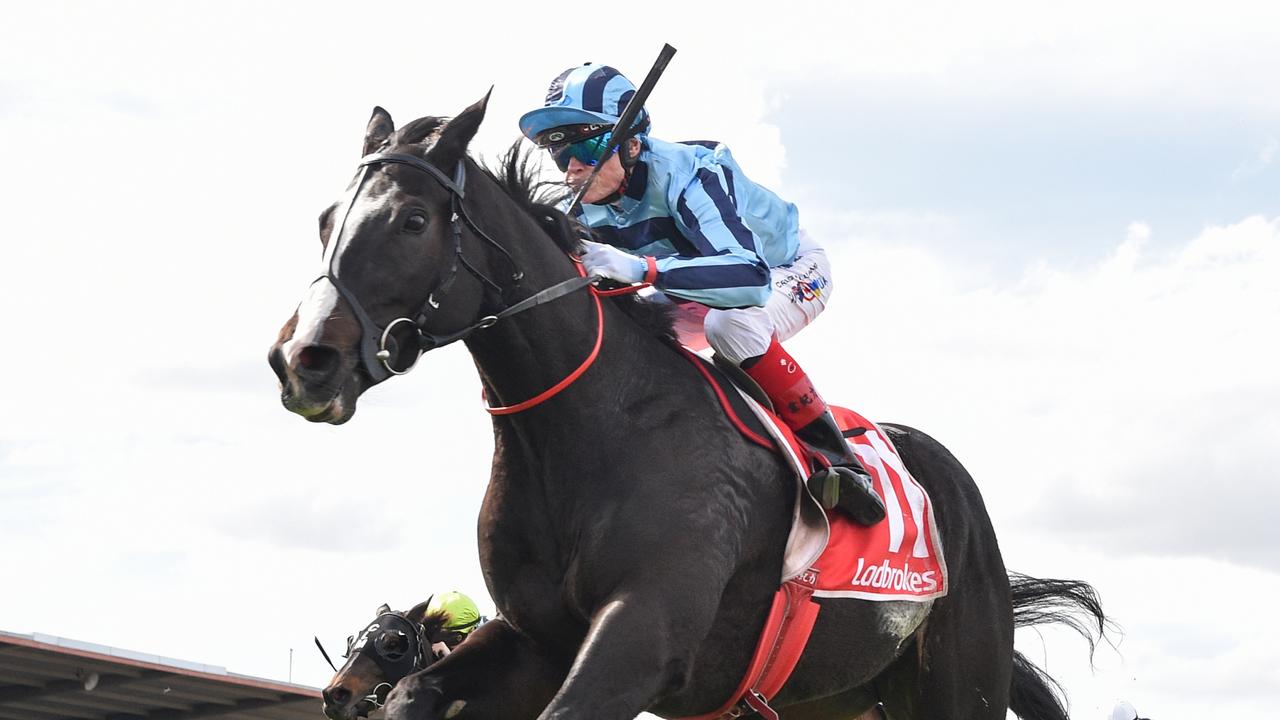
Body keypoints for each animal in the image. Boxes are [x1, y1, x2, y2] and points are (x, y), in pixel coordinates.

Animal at [272, 95, 1111, 717]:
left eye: (412, 221)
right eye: (325, 221)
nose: (304, 359)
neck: (596, 430)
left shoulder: (646, 633)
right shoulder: (537, 639)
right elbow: (415, 692)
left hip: (958, 680)